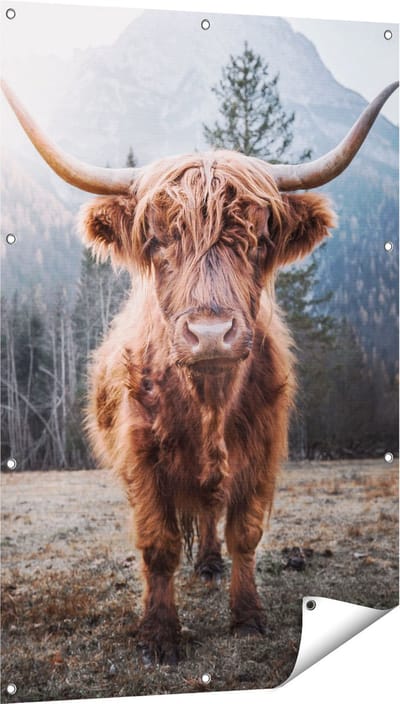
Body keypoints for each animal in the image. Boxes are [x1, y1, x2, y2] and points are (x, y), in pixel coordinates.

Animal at [2, 79, 397, 665]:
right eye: (157, 240)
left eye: (259, 240)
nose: (211, 333)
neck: (209, 400)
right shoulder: (141, 459)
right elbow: (159, 546)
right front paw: (160, 634)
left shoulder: (263, 452)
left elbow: (245, 534)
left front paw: (248, 616)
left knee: (213, 513)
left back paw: (211, 565)